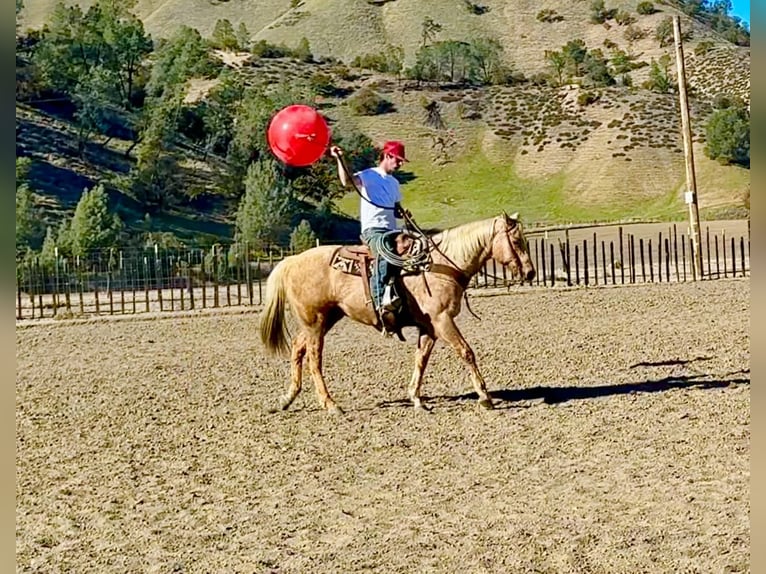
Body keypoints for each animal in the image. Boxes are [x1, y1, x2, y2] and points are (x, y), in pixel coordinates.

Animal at [259, 211, 535, 414]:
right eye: (517, 241)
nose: (531, 272)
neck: (441, 265)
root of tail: (292, 261)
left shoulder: (429, 327)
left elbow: (421, 359)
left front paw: (416, 398)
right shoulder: (442, 320)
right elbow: (466, 352)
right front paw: (485, 397)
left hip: (323, 319)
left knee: (298, 348)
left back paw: (288, 398)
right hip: (315, 321)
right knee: (314, 359)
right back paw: (330, 404)